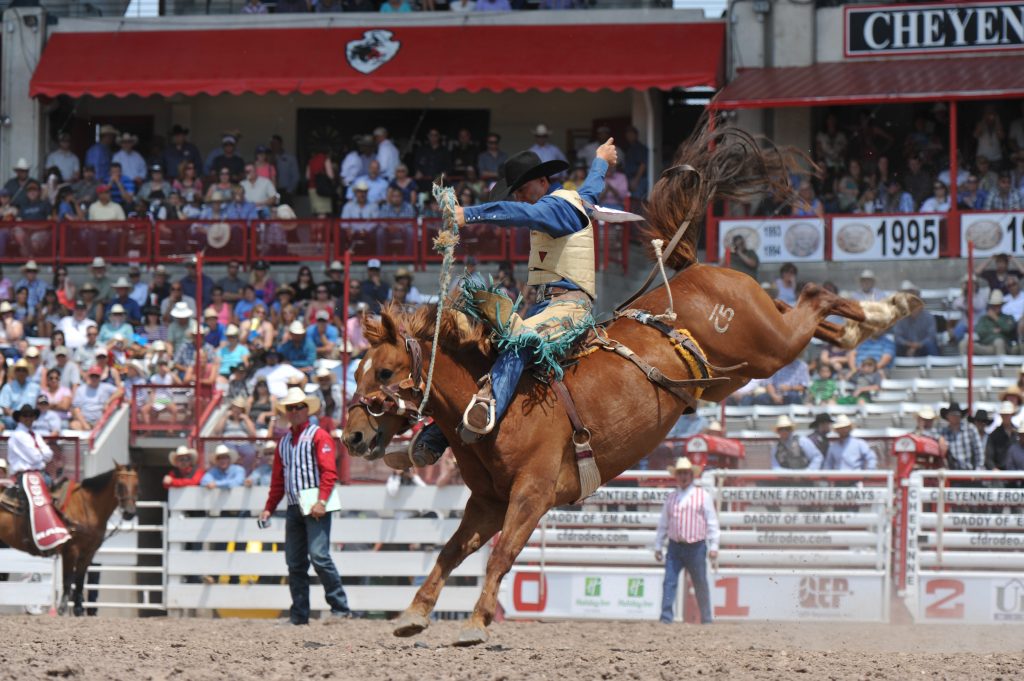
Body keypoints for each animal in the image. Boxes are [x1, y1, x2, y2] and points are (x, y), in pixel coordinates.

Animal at [0, 464, 139, 614]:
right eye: (120, 484)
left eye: (137, 484)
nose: (129, 513)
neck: (88, 507)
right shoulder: (71, 551)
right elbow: (67, 579)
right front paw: (62, 608)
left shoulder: (89, 553)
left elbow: (79, 580)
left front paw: (78, 609)